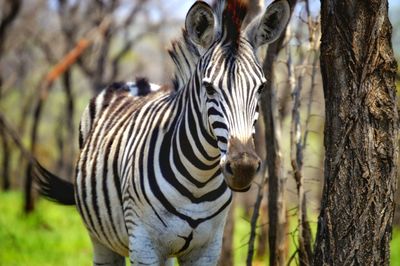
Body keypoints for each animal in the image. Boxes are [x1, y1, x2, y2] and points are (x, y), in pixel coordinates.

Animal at [34, 1, 290, 264]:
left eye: (261, 87)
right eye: (208, 88)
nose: (243, 168)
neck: (200, 182)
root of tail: (135, 83)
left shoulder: (207, 248)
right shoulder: (144, 244)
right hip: (101, 239)